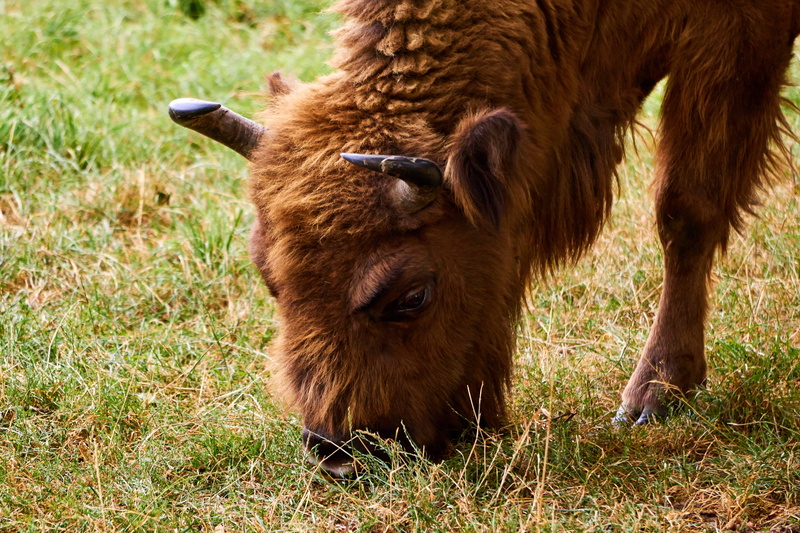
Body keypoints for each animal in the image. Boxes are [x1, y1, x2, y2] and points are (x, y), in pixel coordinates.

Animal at [169, 0, 800, 477]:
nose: (341, 453)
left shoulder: (736, 33)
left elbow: (686, 207)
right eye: (270, 281)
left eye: (412, 296)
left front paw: (652, 397)